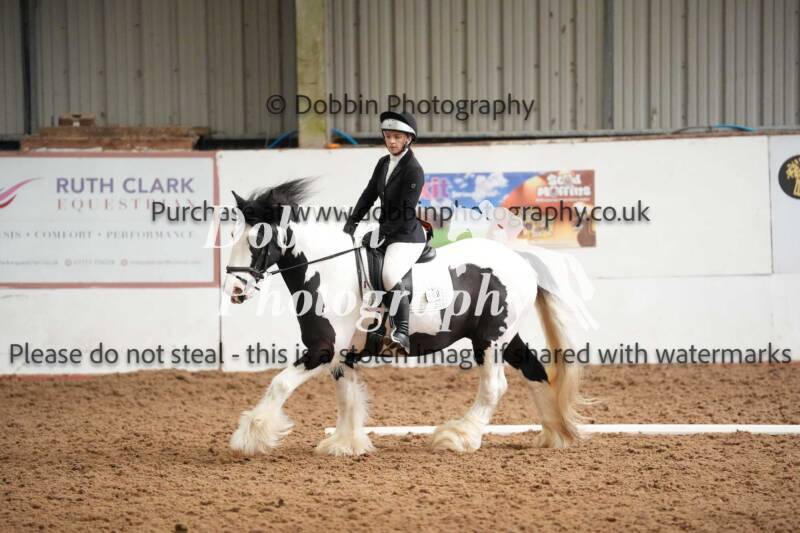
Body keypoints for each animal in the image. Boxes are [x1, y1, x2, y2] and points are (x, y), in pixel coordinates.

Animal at [223, 178, 589, 456]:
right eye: (231, 237)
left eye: (257, 239)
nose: (234, 289)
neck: (327, 270)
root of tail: (520, 260)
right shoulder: (343, 353)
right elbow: (347, 396)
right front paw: (346, 444)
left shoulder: (323, 348)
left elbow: (279, 384)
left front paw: (250, 436)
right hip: (505, 336)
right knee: (534, 370)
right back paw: (554, 435)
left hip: (490, 340)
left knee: (494, 387)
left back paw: (460, 436)